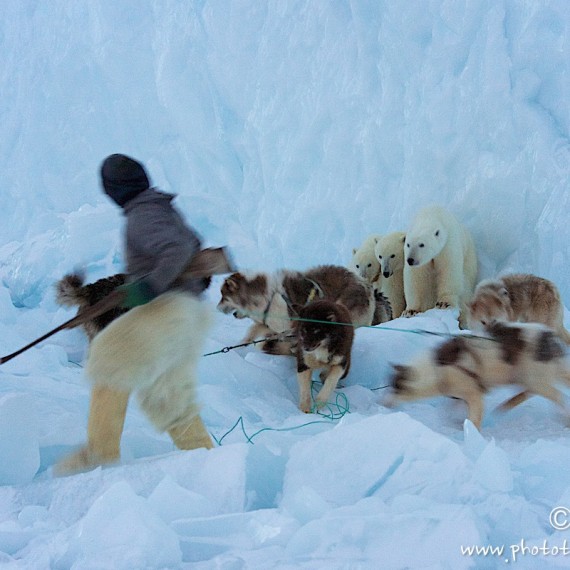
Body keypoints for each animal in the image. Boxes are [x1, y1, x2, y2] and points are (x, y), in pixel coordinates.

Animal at [386, 320, 568, 426]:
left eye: (396, 388)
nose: (383, 403)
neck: (436, 367)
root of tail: (549, 335)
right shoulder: (460, 396)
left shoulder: (474, 395)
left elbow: (474, 418)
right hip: (528, 378)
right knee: (530, 392)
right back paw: (507, 404)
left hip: (535, 379)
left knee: (557, 395)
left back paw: (564, 417)